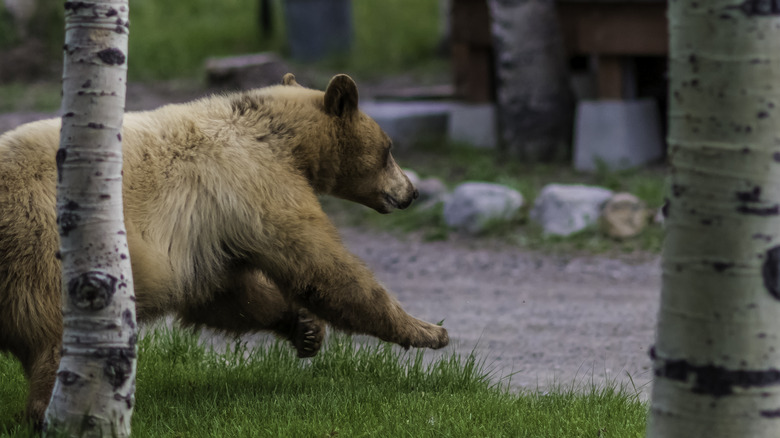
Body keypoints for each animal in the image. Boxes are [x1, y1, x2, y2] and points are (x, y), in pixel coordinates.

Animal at [0, 73, 450, 426]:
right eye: (388, 149)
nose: (411, 192)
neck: (285, 140)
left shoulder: (212, 228)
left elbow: (225, 293)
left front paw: (306, 329)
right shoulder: (257, 184)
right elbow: (319, 266)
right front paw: (427, 330)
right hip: (44, 248)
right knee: (58, 338)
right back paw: (60, 412)